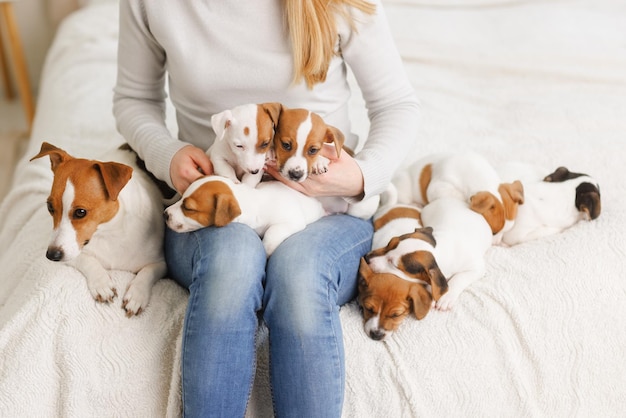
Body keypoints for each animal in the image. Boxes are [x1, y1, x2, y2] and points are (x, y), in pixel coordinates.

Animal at [29, 142, 166, 316]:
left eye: (80, 212)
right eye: (50, 207)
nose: (52, 255)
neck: (109, 232)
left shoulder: (162, 264)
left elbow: (147, 272)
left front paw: (137, 295)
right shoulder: (73, 253)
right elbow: (87, 260)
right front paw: (102, 283)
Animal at [163, 176, 324, 256]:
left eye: (188, 208)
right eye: (181, 197)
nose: (165, 214)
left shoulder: (292, 220)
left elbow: (272, 232)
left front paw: (266, 250)